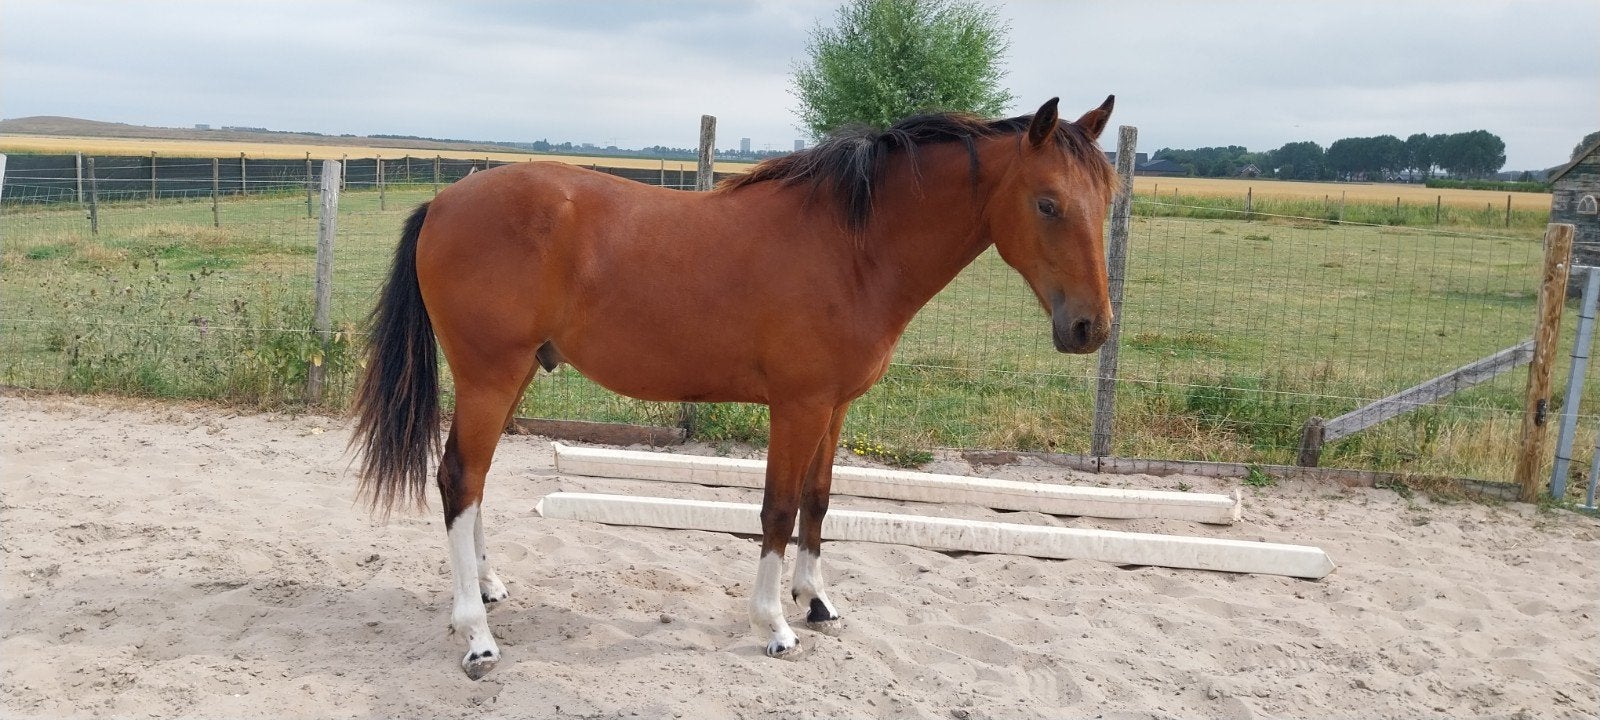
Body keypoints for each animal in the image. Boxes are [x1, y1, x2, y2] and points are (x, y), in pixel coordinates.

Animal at [351, 96, 1119, 679]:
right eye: (1048, 204)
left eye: (1106, 198)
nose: (1090, 327)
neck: (853, 247)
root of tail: (443, 200)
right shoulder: (798, 407)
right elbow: (777, 510)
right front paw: (774, 623)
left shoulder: (834, 407)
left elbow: (818, 501)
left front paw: (817, 600)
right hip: (489, 375)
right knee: (458, 478)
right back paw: (477, 636)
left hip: (512, 377)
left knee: (475, 483)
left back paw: (488, 589)